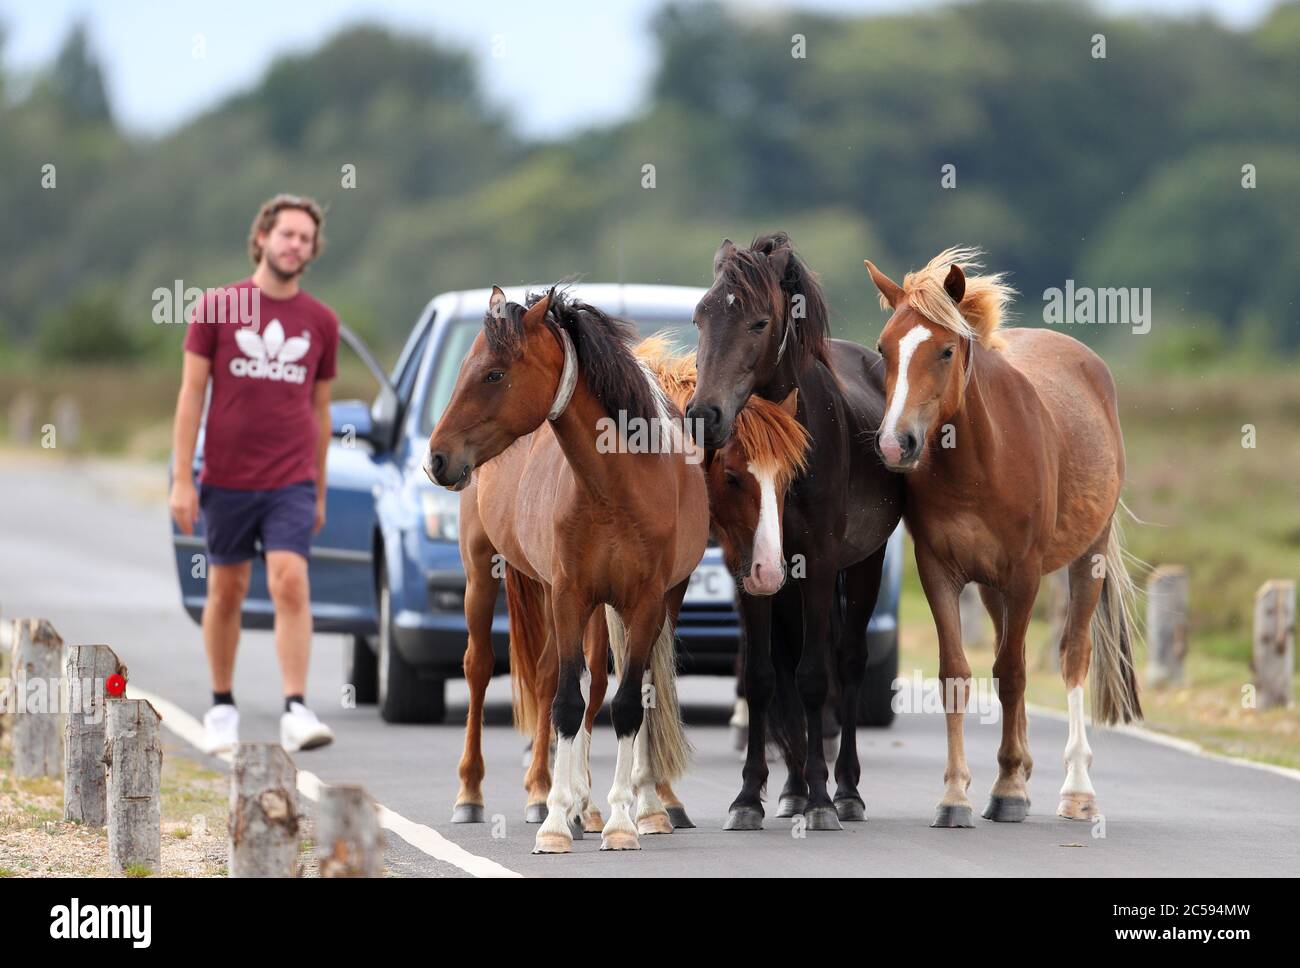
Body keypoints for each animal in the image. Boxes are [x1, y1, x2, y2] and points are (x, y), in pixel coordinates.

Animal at [423, 288, 712, 852]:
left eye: (493, 373)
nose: (437, 459)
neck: (618, 484)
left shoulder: (645, 602)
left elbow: (624, 702)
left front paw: (621, 821)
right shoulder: (569, 595)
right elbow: (564, 705)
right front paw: (557, 823)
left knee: (577, 680)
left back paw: (602, 805)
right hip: (483, 573)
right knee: (481, 668)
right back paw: (477, 795)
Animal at [681, 229, 904, 826]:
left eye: (759, 322)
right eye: (700, 316)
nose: (703, 416)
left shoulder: (822, 564)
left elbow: (815, 676)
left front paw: (824, 800)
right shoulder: (749, 567)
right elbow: (762, 678)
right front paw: (749, 796)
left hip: (864, 565)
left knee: (846, 662)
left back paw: (844, 789)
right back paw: (794, 787)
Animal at [868, 245, 1144, 826]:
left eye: (946, 350)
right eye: (884, 348)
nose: (895, 444)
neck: (980, 461)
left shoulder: (1024, 575)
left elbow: (1014, 673)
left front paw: (1009, 789)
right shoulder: (939, 570)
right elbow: (959, 673)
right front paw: (957, 794)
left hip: (1086, 559)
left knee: (1072, 654)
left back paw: (1076, 789)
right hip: (993, 587)